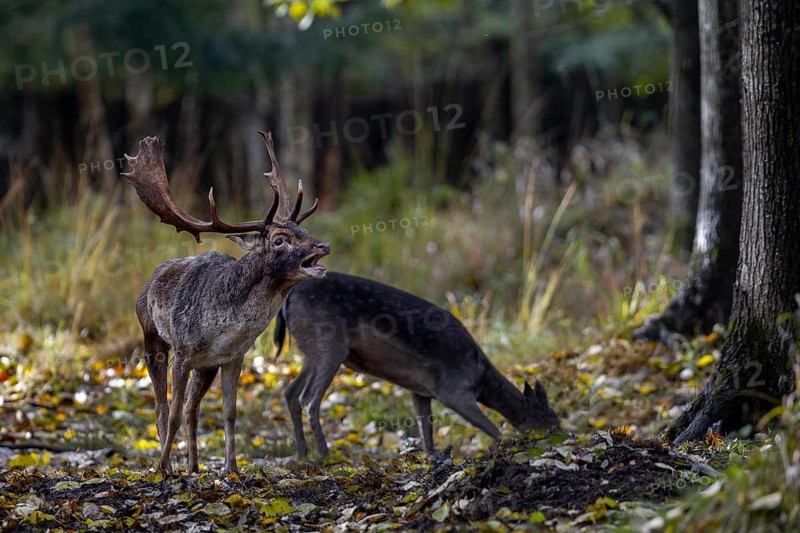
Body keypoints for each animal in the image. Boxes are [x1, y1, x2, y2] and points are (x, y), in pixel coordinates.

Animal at [122, 131, 329, 474]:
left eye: (304, 229)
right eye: (279, 240)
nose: (323, 245)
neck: (225, 328)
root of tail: (151, 279)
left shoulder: (233, 357)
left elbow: (229, 414)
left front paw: (231, 467)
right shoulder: (184, 352)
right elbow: (173, 412)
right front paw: (163, 466)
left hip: (205, 367)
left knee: (192, 409)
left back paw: (194, 467)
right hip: (152, 337)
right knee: (161, 406)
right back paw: (167, 465)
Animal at [273, 272, 560, 457]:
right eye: (549, 419)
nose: (562, 436)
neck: (481, 379)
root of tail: (286, 301)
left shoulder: (419, 391)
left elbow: (427, 432)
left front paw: (432, 460)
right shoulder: (453, 389)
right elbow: (491, 428)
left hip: (311, 349)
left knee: (290, 391)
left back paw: (302, 455)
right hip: (330, 343)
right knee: (309, 398)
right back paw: (324, 455)